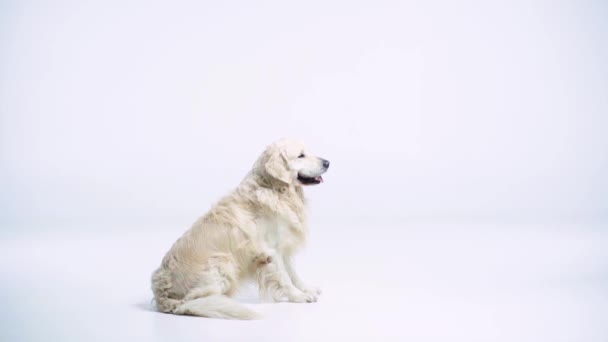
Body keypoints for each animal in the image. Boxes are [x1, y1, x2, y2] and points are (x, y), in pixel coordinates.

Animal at [152, 138, 332, 320]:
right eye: (301, 155)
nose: (327, 162)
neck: (274, 190)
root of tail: (162, 297)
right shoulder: (270, 251)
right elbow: (284, 277)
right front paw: (299, 296)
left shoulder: (283, 246)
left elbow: (293, 273)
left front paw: (306, 289)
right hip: (222, 261)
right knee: (193, 300)